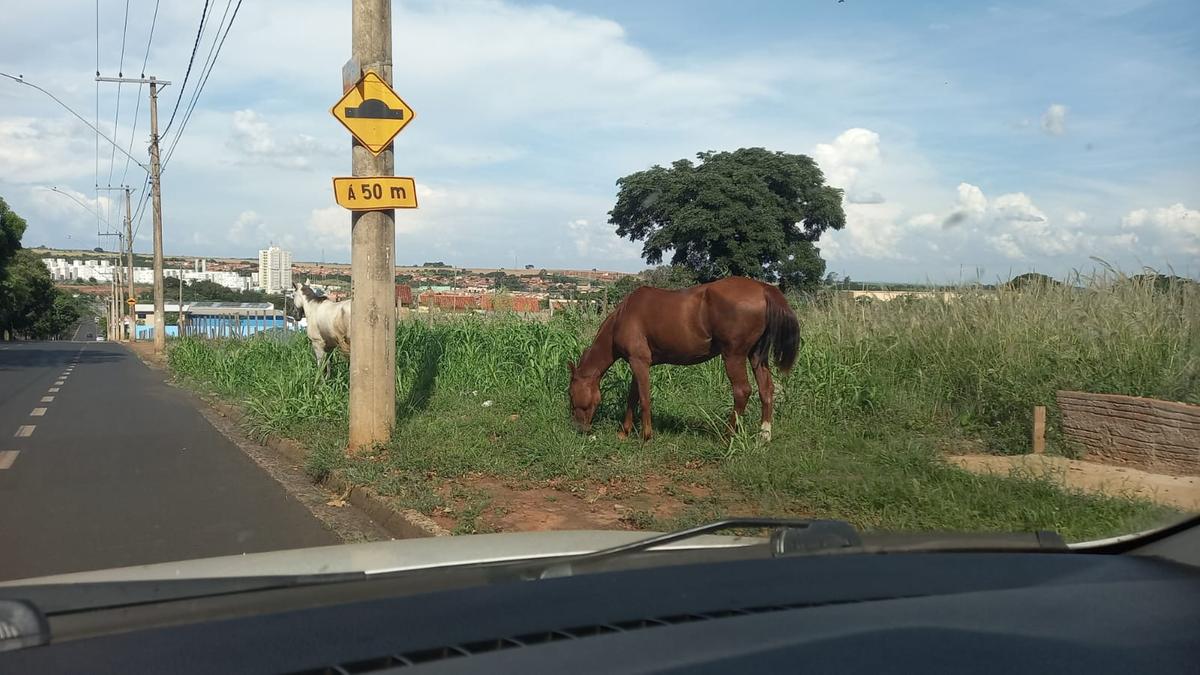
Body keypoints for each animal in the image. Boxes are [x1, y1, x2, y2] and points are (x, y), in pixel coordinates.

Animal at [568, 275, 801, 439]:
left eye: (571, 393)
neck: (622, 317)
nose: (579, 428)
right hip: (756, 355)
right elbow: (632, 397)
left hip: (734, 355)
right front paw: (624, 431)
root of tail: (763, 288)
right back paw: (764, 435)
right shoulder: (639, 363)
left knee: (742, 391)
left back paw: (728, 436)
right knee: (766, 389)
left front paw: (646, 435)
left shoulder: (639, 362)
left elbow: (644, 398)